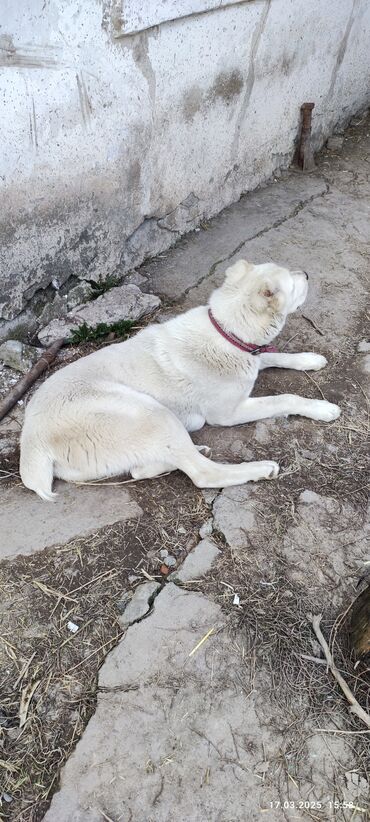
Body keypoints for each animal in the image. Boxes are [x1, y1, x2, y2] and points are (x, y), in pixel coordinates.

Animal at [19, 260, 338, 498]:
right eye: (292, 282)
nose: (306, 273)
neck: (226, 331)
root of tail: (31, 443)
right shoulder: (229, 413)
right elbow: (284, 398)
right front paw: (322, 408)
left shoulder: (254, 356)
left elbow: (276, 356)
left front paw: (309, 359)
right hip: (151, 412)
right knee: (203, 473)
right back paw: (258, 469)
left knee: (141, 469)